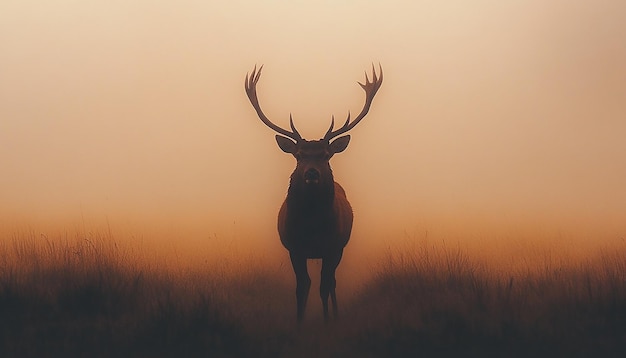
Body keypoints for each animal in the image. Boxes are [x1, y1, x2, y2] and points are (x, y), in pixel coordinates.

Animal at [243, 63, 380, 322]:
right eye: (299, 155)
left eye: (326, 155)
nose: (312, 173)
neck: (312, 225)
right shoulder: (294, 247)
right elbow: (302, 286)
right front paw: (299, 322)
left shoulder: (332, 247)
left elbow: (324, 286)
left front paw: (327, 322)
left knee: (332, 282)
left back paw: (334, 315)